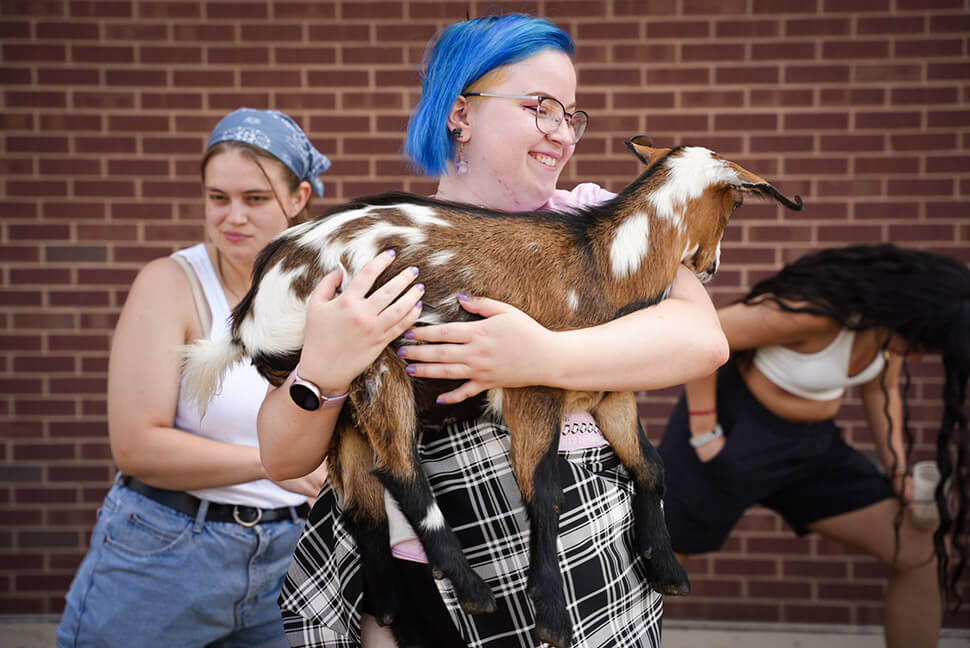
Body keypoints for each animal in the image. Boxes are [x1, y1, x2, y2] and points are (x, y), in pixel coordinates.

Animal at [182, 138, 800, 648]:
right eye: (736, 205)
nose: (712, 267)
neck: (604, 264)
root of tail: (252, 310)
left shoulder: (609, 392)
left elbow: (650, 466)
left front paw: (665, 567)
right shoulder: (531, 389)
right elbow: (544, 495)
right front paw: (550, 617)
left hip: (342, 410)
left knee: (363, 500)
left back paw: (388, 606)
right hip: (371, 360)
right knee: (402, 475)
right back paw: (475, 591)